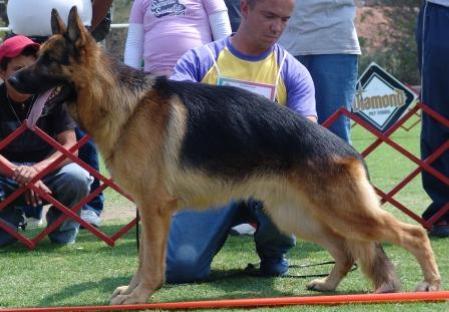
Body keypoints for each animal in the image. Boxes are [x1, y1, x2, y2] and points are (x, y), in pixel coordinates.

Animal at [8, 6, 440, 304]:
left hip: (344, 212)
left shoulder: (154, 209)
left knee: (412, 232)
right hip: (300, 215)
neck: (120, 100)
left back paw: (432, 283)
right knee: (347, 251)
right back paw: (328, 284)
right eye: (37, 57)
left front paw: (140, 296)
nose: (10, 78)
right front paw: (132, 292)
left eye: (48, 61)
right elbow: (143, 259)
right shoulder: (148, 211)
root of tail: (347, 150)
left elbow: (151, 262)